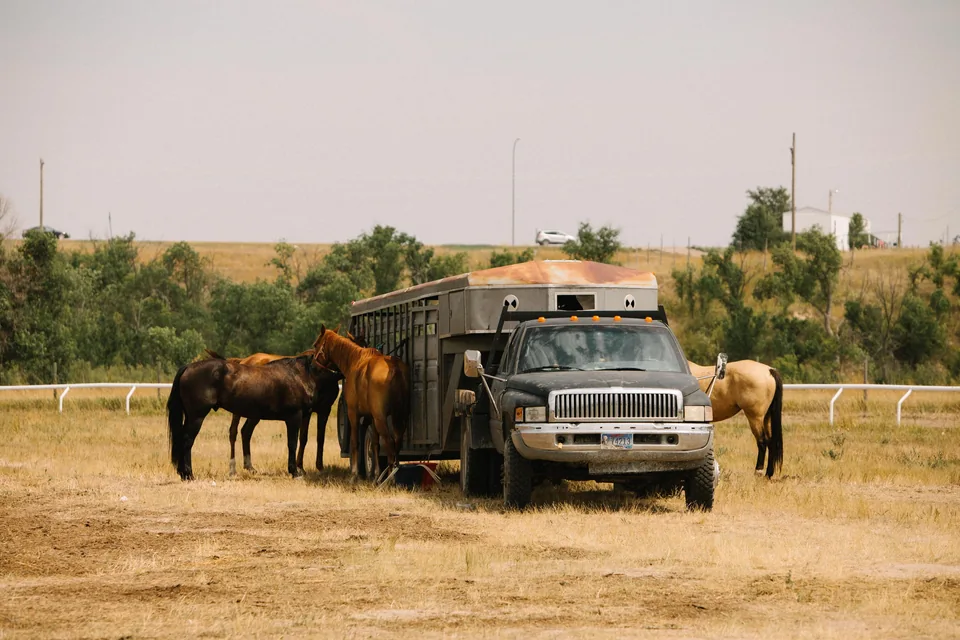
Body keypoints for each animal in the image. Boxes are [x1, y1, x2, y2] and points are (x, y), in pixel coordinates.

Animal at [166, 351, 334, 480]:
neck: (298, 374)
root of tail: (188, 367)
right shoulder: (294, 417)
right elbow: (292, 444)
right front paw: (294, 472)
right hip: (197, 417)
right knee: (187, 441)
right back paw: (189, 474)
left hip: (190, 416)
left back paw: (183, 473)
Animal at [312, 325, 410, 480]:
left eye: (316, 345)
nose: (314, 368)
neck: (354, 360)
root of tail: (395, 367)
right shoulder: (371, 417)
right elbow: (374, 444)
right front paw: (376, 474)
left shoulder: (353, 413)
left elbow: (355, 442)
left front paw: (354, 473)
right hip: (400, 415)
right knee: (397, 441)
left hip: (381, 418)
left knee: (389, 442)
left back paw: (390, 476)